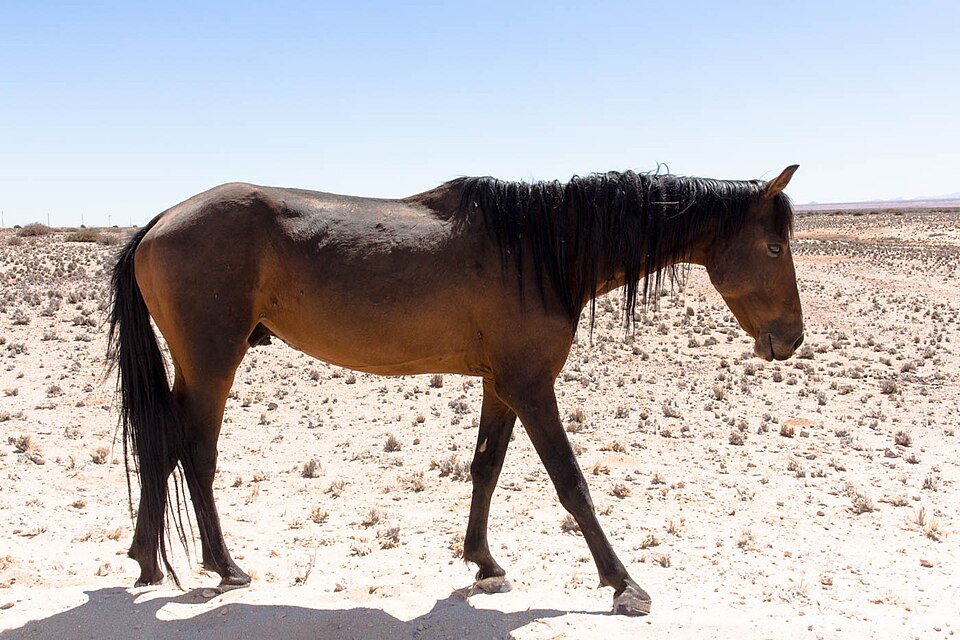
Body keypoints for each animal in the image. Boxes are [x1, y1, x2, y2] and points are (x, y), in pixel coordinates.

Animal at [107, 165, 803, 616]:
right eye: (772, 246)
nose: (791, 339)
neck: (542, 250)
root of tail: (161, 220)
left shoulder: (503, 384)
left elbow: (485, 468)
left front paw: (484, 562)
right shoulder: (532, 386)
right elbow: (572, 485)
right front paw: (622, 583)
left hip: (197, 366)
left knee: (162, 447)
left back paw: (146, 559)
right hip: (211, 363)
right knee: (193, 454)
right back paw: (224, 566)